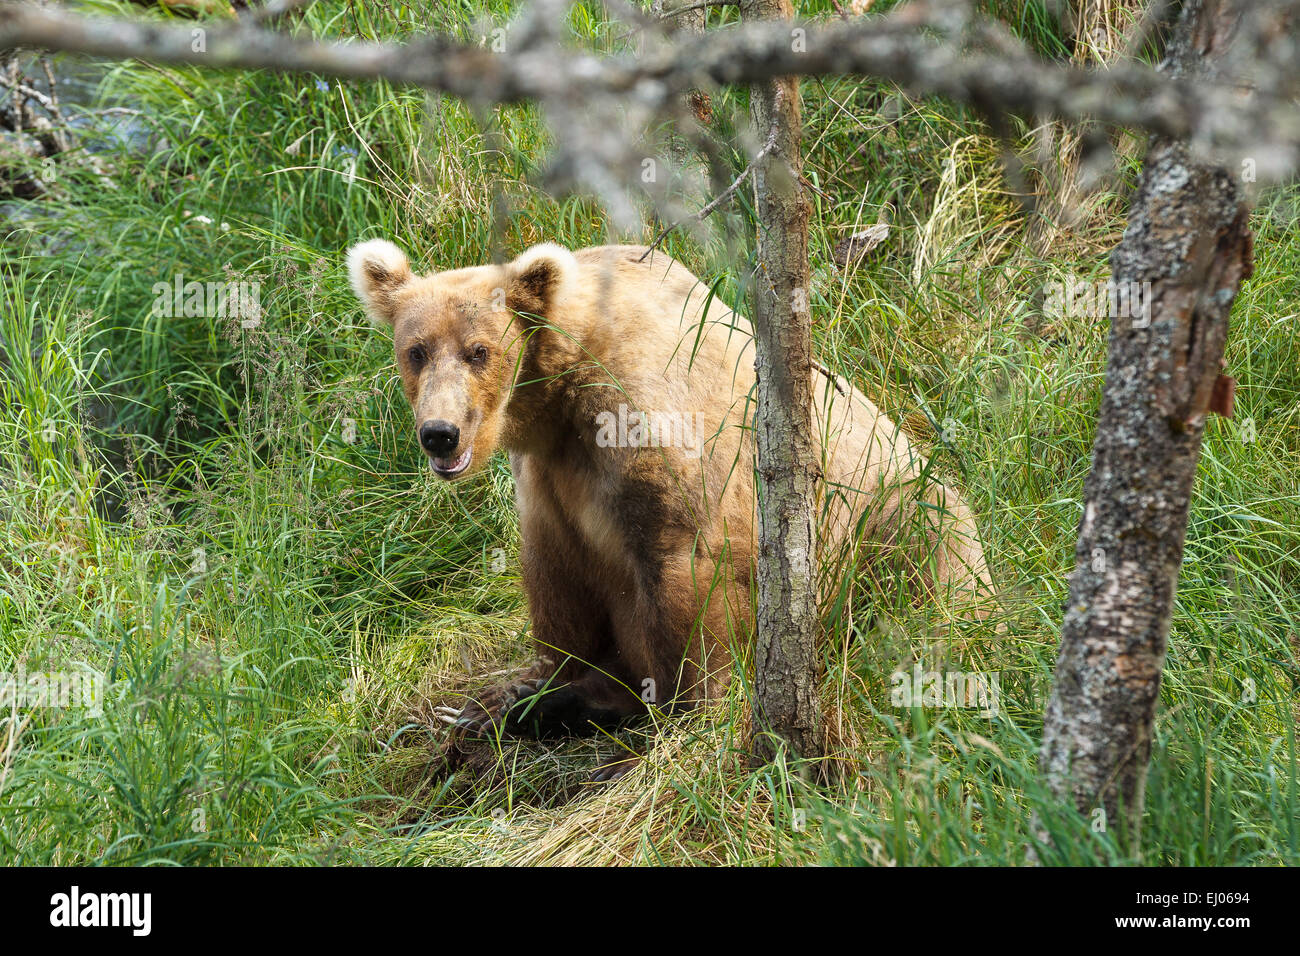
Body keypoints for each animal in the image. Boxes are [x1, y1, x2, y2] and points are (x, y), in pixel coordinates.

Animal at [345, 239, 982, 780]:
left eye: (480, 351)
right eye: (416, 351)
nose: (440, 434)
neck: (560, 399)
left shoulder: (661, 439)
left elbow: (691, 580)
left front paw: (670, 731)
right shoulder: (550, 485)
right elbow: (558, 585)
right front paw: (523, 697)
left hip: (904, 523)